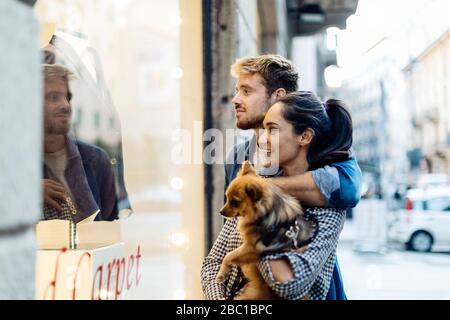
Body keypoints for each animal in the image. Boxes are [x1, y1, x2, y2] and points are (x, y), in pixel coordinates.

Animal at [215, 162, 314, 300]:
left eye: (235, 202)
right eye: (227, 198)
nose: (220, 212)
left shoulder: (251, 247)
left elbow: (229, 255)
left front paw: (221, 274)